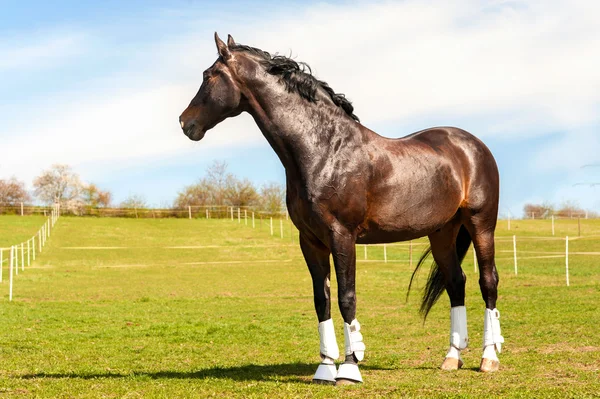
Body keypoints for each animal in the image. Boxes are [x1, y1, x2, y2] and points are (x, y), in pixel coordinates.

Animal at [177, 33, 502, 384]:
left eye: (208, 75)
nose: (185, 122)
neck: (325, 150)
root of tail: (472, 145)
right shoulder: (310, 240)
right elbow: (322, 299)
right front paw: (324, 367)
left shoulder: (342, 236)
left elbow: (347, 297)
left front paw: (349, 367)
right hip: (442, 233)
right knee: (456, 282)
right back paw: (452, 357)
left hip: (481, 225)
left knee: (488, 282)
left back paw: (489, 357)